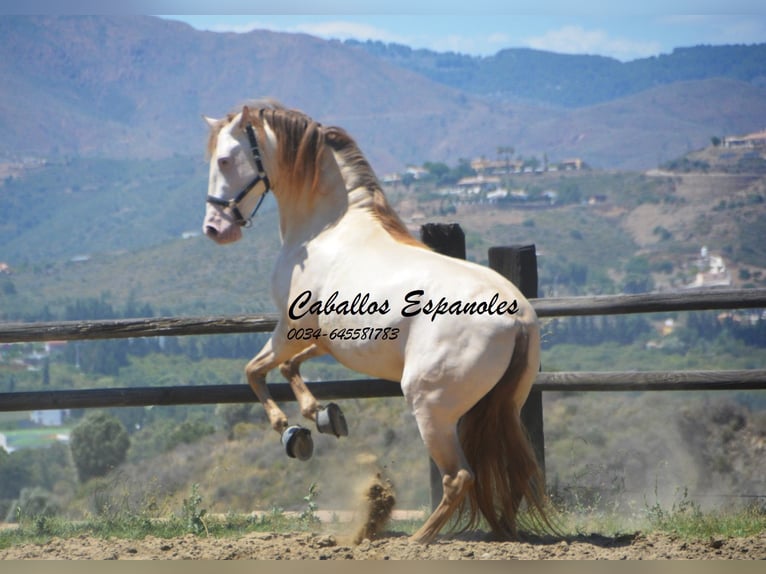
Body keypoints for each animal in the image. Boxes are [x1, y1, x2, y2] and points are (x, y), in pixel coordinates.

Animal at [202, 100, 552, 544]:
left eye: (225, 159)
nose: (215, 229)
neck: (327, 229)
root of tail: (517, 316)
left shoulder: (289, 328)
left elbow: (254, 370)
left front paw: (292, 433)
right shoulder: (329, 339)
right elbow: (288, 367)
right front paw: (324, 416)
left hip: (431, 407)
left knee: (459, 476)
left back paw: (417, 539)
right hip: (502, 404)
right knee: (506, 470)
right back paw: (501, 532)